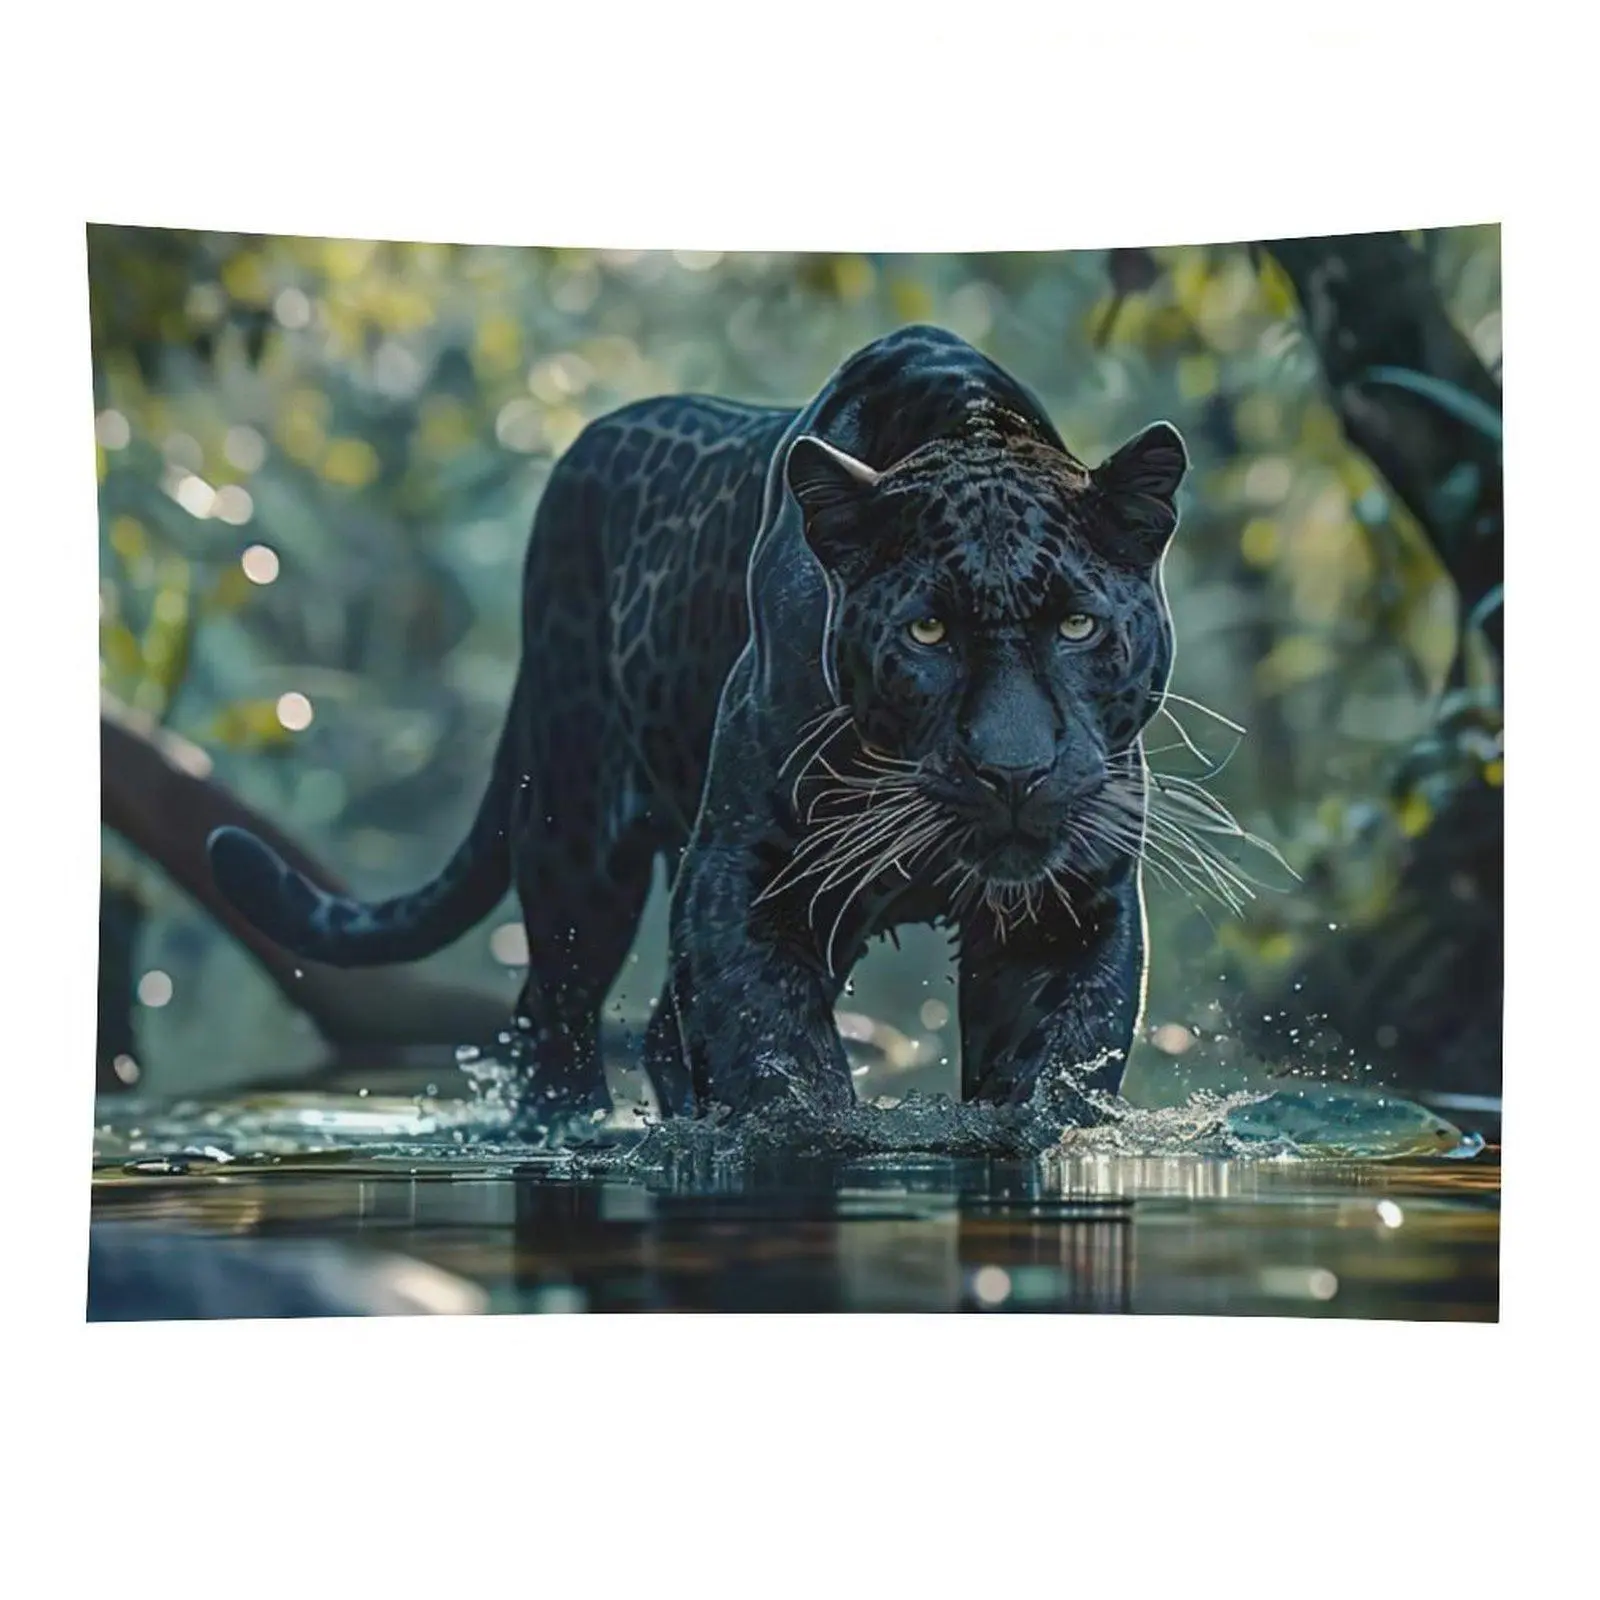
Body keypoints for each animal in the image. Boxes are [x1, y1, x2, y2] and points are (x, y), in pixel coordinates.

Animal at [208, 324, 1189, 1126]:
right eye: (928, 631)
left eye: (1077, 625)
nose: (1013, 769)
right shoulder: (744, 872)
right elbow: (779, 1061)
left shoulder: (1075, 906)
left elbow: (1052, 1076)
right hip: (577, 853)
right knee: (555, 1022)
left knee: (654, 1032)